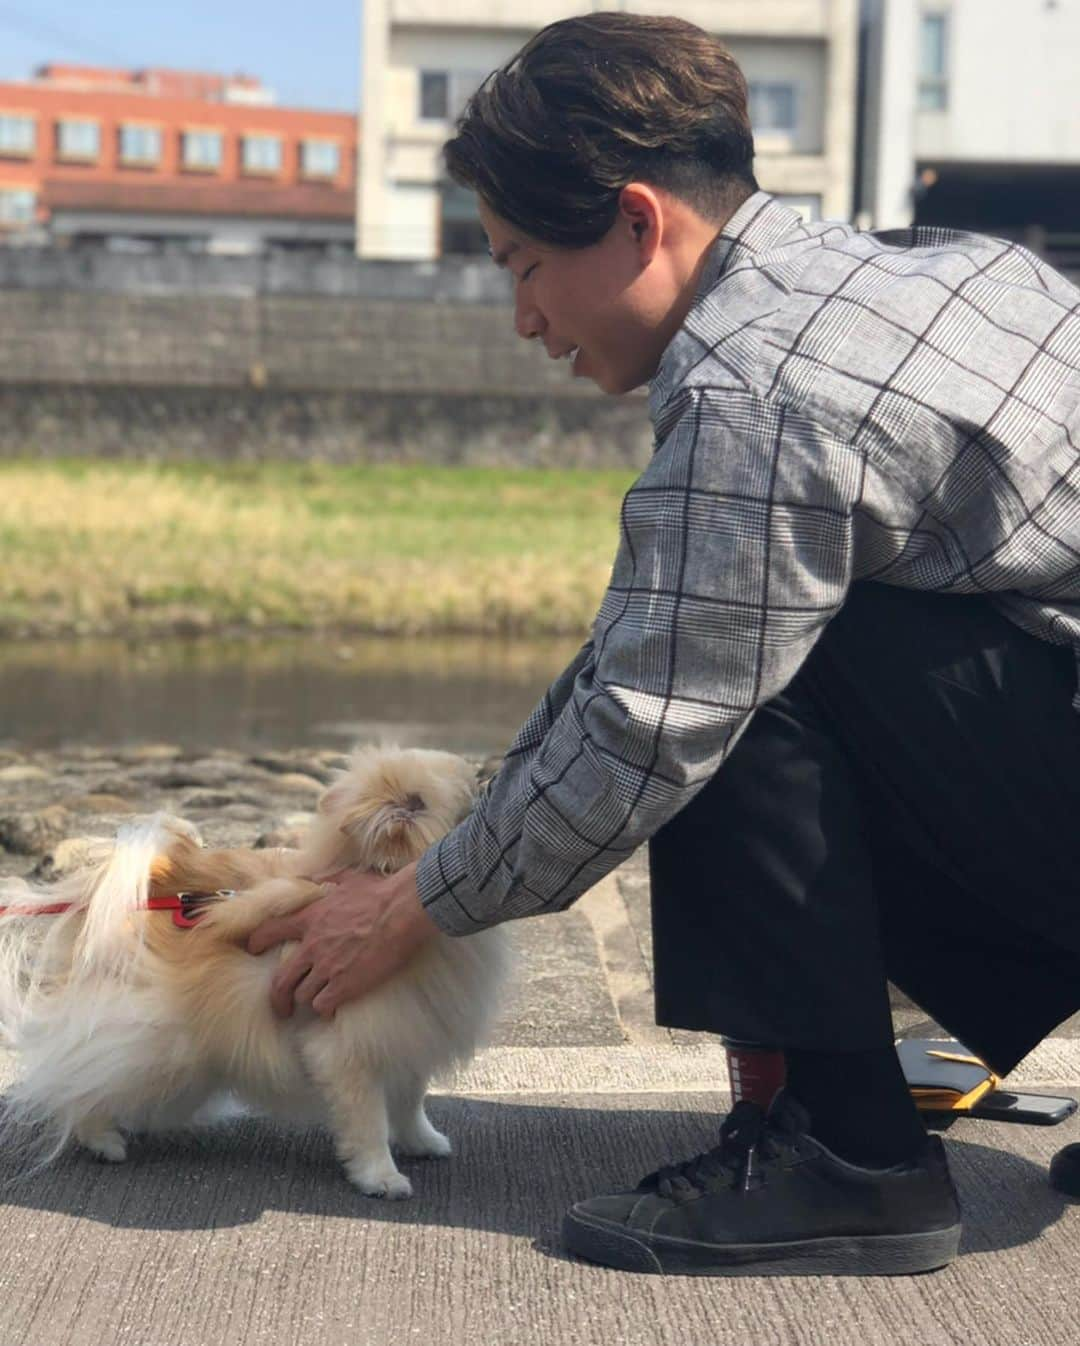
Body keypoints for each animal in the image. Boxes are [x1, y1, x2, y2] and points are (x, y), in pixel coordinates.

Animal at [0, 748, 509, 1200]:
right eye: (470, 788)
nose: (490, 774)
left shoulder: (407, 1038)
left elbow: (409, 1102)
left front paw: (424, 1142)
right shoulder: (346, 1052)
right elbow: (369, 1123)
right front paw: (380, 1178)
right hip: (153, 1046)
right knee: (79, 1084)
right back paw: (103, 1141)